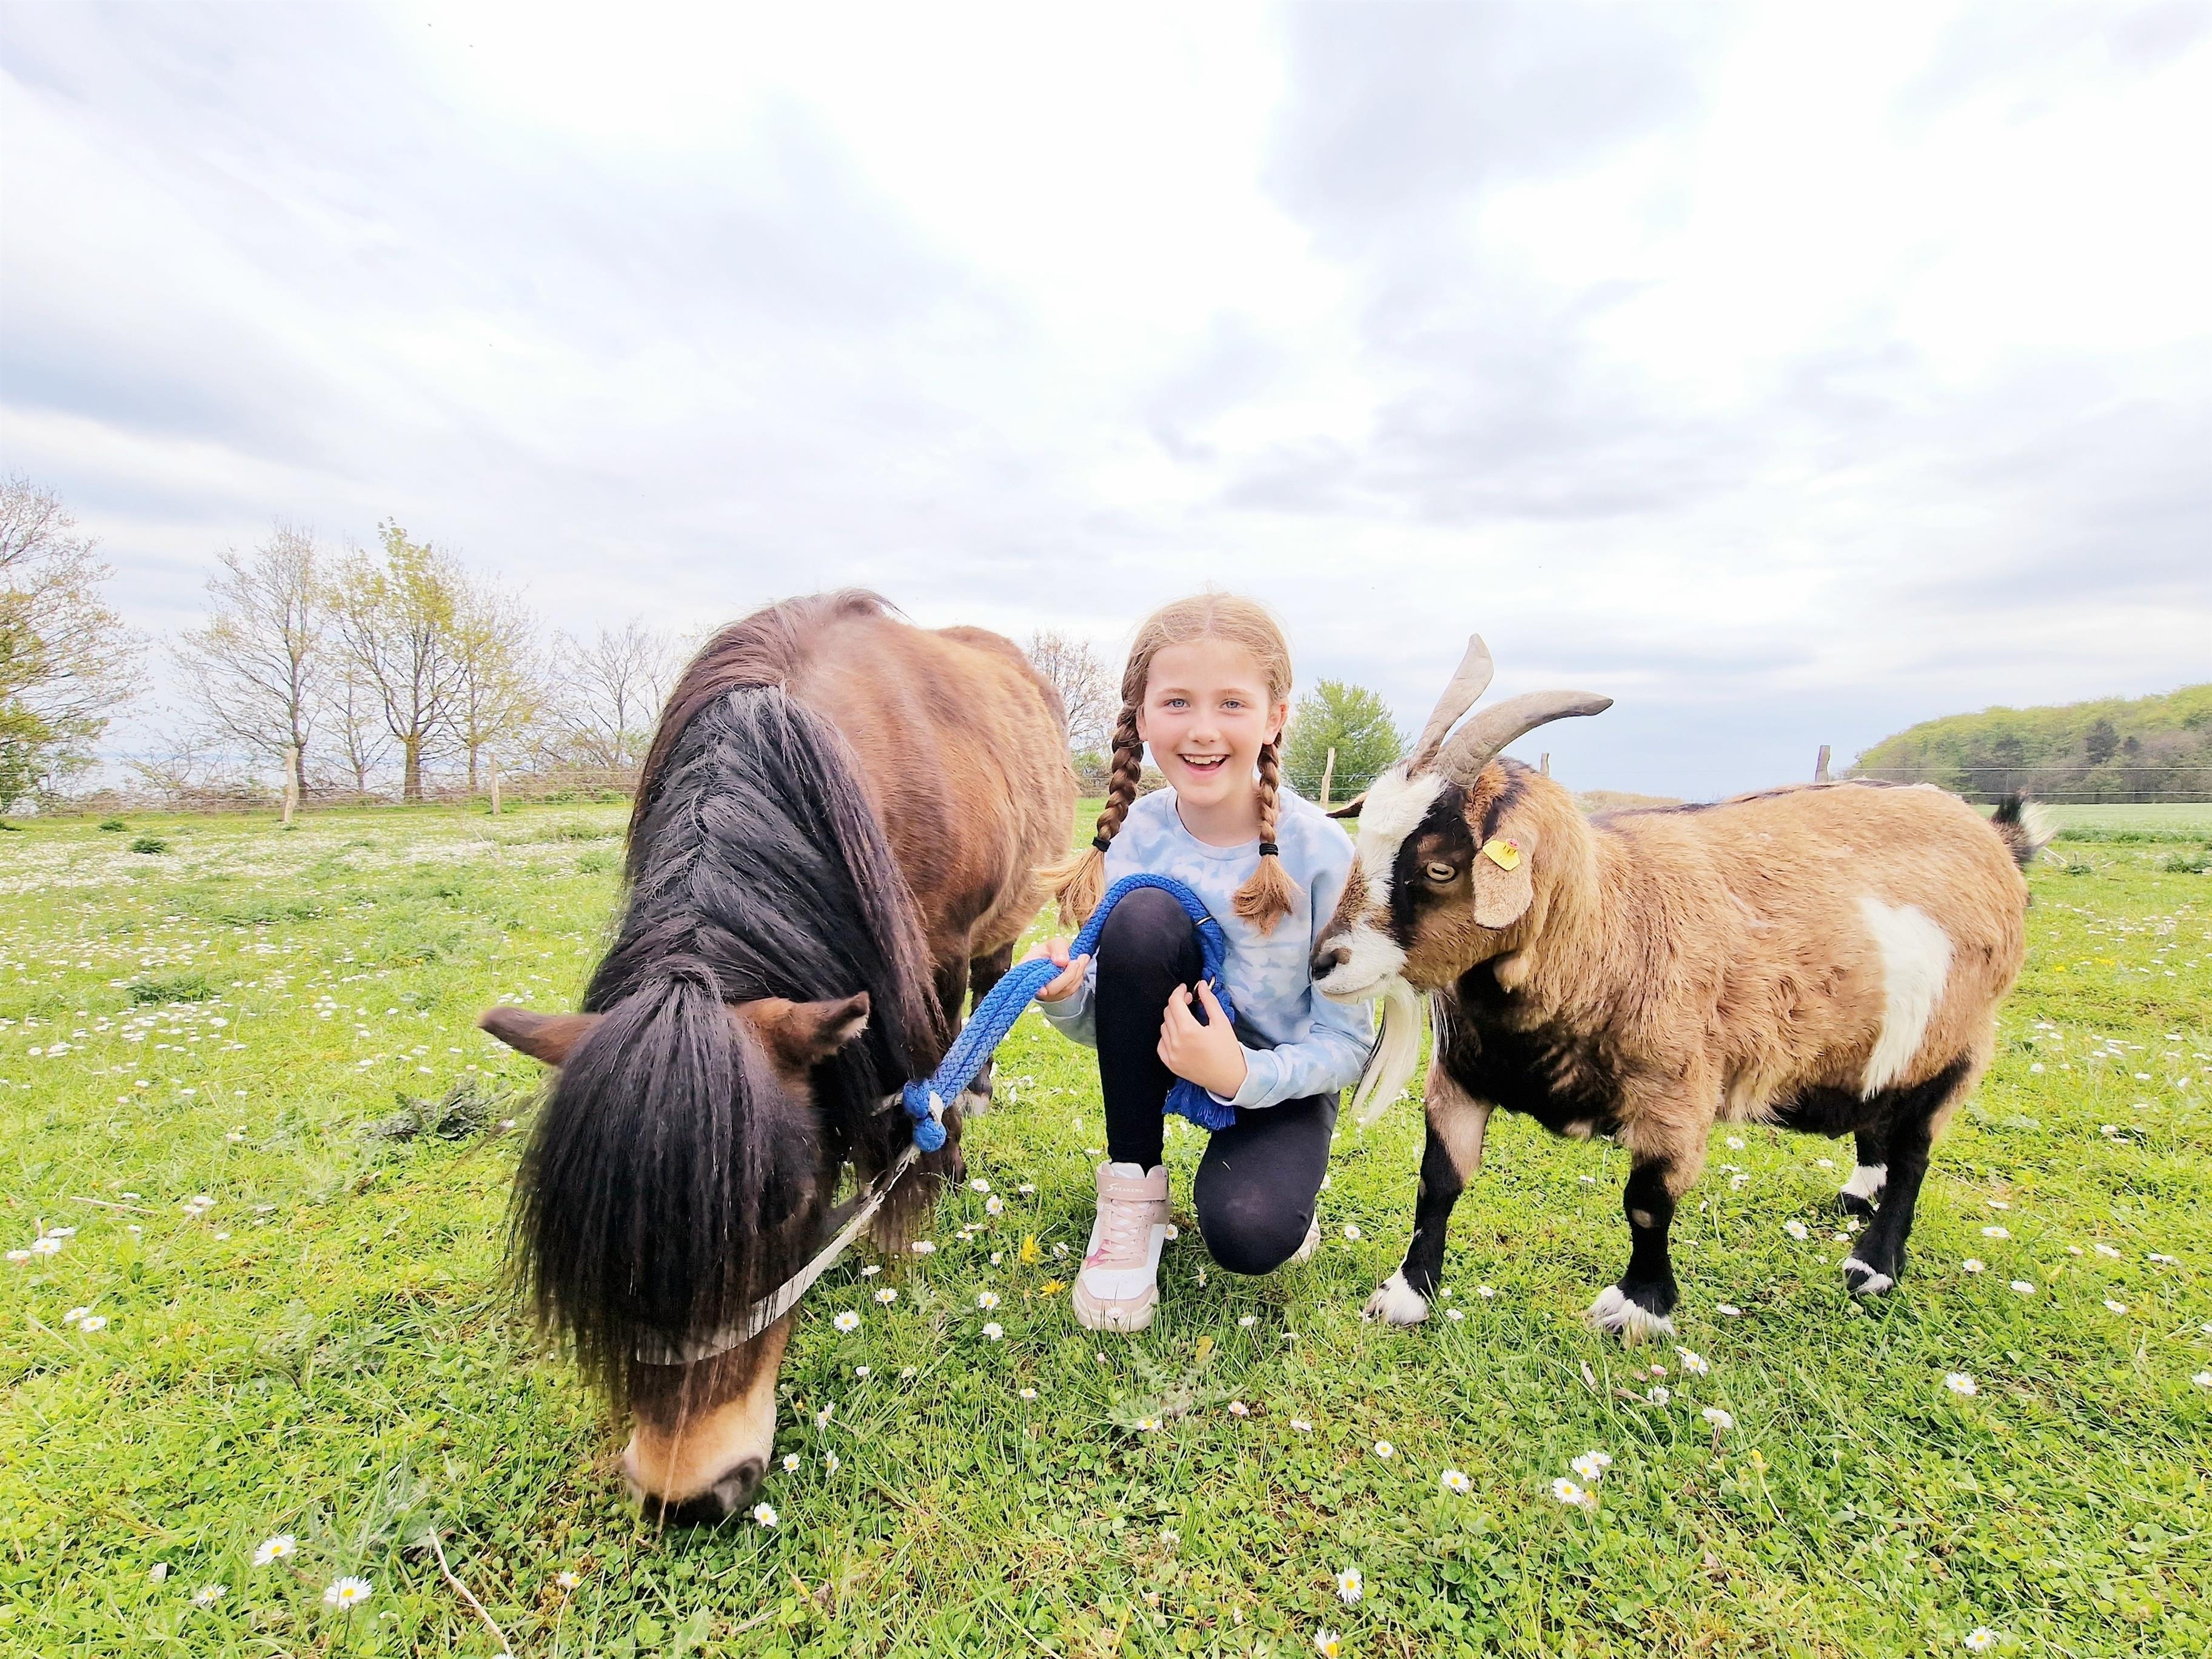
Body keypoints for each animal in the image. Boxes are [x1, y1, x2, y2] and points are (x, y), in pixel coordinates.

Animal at [477, 590, 1074, 1522]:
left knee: (990, 988)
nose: (688, 1495)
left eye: (789, 1206)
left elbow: (929, 1065)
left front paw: (925, 1185)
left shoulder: (935, 953)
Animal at [1310, 636, 2047, 1340]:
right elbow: (1439, 1181)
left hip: (1956, 1042)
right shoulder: (1462, 1077)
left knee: (1917, 1147)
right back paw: (1858, 1193)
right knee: (1876, 1110)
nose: (1325, 963)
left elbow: (1648, 1203)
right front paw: (1407, 1295)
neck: (1606, 931)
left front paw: (1639, 1308)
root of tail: (1995, 839)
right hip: (1874, 1041)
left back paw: (1873, 1265)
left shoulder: (1677, 1094)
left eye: (1440, 866)